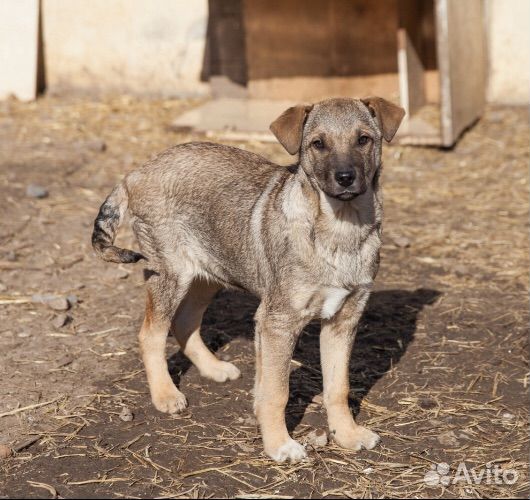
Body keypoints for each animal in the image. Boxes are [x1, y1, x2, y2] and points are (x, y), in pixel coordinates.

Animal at [93, 97, 402, 464]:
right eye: (318, 144)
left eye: (363, 139)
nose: (345, 178)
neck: (341, 227)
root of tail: (136, 172)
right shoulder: (277, 322)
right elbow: (276, 391)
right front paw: (279, 444)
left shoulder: (344, 320)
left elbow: (337, 387)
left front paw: (348, 435)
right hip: (170, 274)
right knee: (151, 334)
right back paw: (165, 395)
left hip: (210, 272)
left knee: (185, 322)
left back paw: (213, 369)